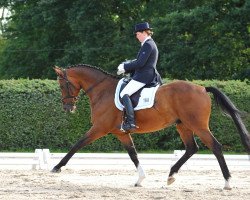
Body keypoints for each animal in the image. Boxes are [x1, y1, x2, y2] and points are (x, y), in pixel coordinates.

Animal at [51, 63, 249, 189]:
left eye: (62, 85)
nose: (68, 108)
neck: (102, 91)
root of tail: (202, 88)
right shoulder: (121, 133)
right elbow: (133, 154)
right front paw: (140, 180)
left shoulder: (99, 128)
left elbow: (77, 145)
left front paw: (57, 167)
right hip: (183, 126)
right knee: (191, 148)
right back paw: (171, 176)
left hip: (198, 125)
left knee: (215, 146)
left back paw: (227, 182)